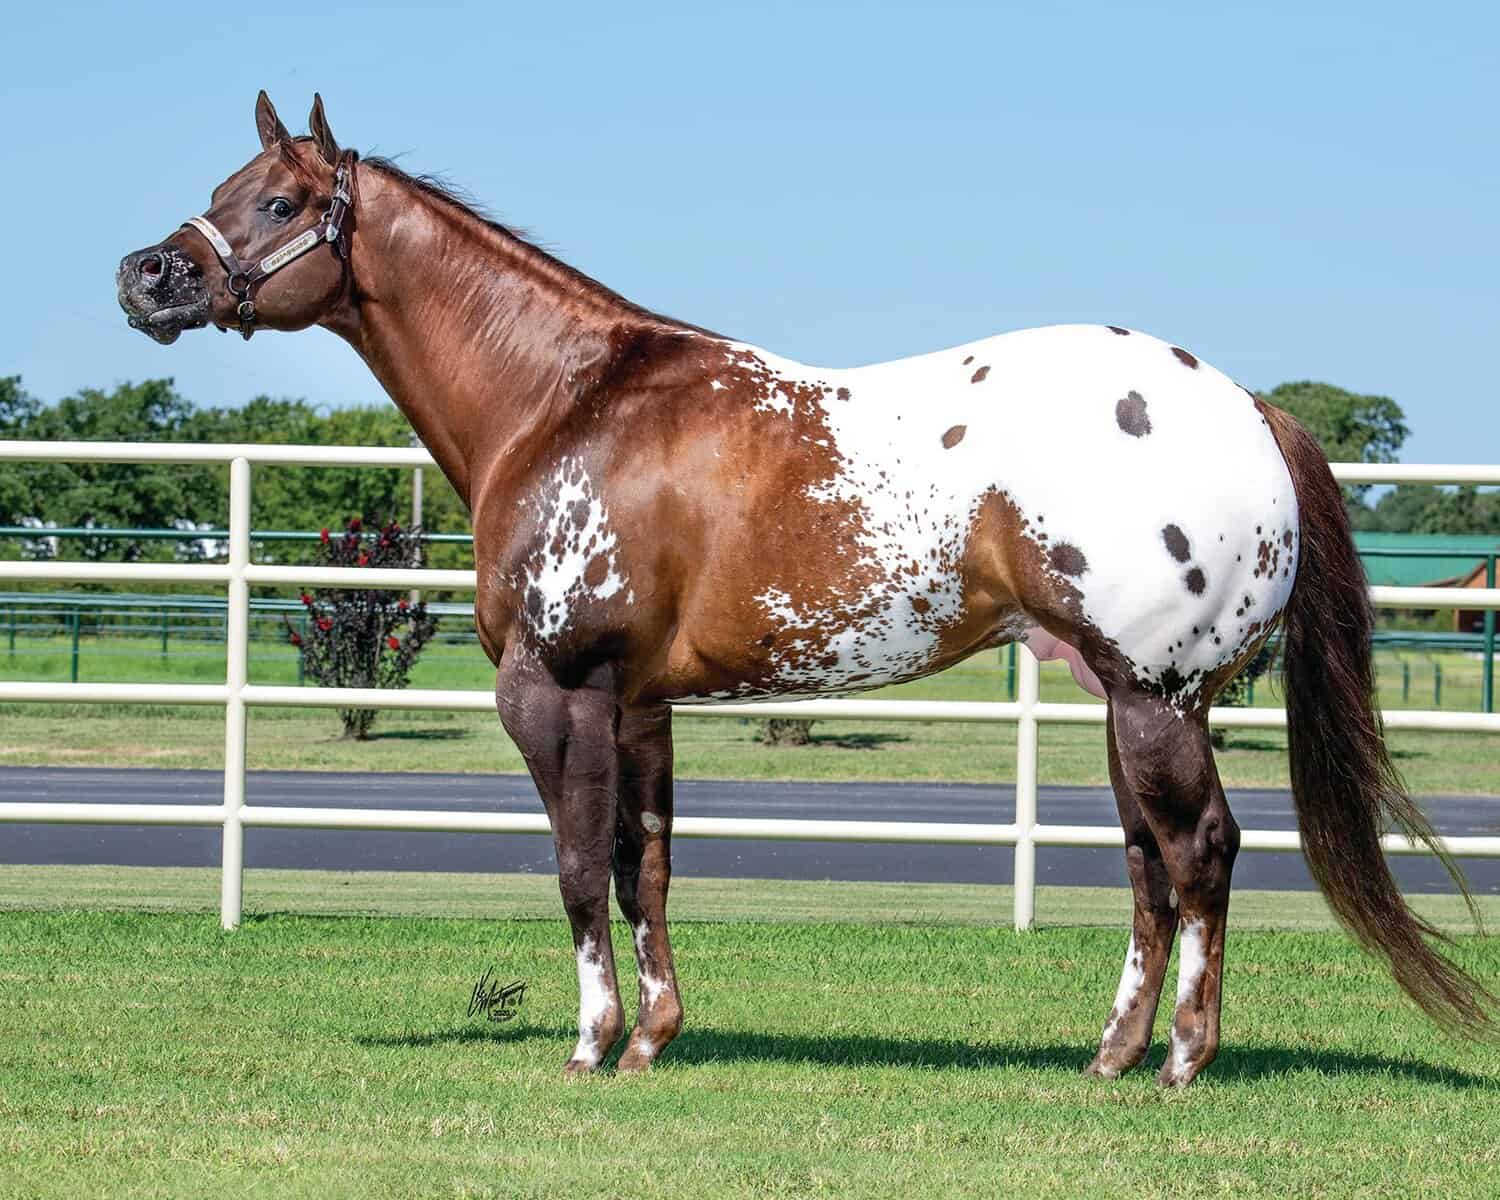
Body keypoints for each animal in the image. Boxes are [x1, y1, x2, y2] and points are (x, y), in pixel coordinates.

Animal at [117, 92, 1494, 1086]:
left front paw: (589, 1044)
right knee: (1152, 865)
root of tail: (1246, 407)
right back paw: (1111, 1055)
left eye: (280, 199)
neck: (565, 402)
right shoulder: (640, 704)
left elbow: (575, 865)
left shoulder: (555, 692)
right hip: (1137, 701)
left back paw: (1184, 1064)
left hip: (1154, 697)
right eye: (223, 193)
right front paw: (654, 1037)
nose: (146, 278)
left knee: (1200, 852)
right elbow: (646, 864)